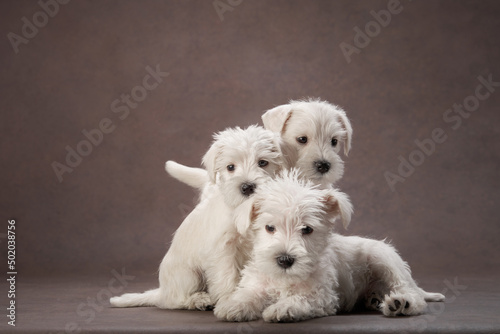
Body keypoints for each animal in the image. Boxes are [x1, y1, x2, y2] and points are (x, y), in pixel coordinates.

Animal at [110, 126, 286, 310]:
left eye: (263, 162)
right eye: (230, 167)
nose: (247, 187)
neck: (241, 209)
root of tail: (161, 292)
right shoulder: (223, 249)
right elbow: (227, 276)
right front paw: (230, 299)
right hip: (188, 275)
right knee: (176, 300)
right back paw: (200, 299)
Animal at [215, 171, 446, 322]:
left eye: (307, 229)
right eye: (269, 228)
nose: (284, 260)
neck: (285, 279)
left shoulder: (323, 296)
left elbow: (302, 298)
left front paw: (284, 307)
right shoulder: (256, 284)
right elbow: (248, 294)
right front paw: (234, 305)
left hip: (384, 258)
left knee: (411, 292)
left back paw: (400, 304)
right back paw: (375, 299)